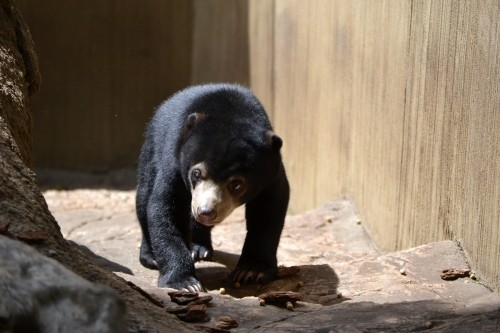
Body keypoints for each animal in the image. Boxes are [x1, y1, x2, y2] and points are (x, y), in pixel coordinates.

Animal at [136, 83, 290, 290]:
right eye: (197, 173)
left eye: (236, 184)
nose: (205, 212)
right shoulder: (175, 161)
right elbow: (166, 208)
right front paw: (185, 283)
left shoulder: (271, 173)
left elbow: (268, 211)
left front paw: (251, 272)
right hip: (152, 149)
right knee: (144, 198)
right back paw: (151, 257)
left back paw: (199, 249)